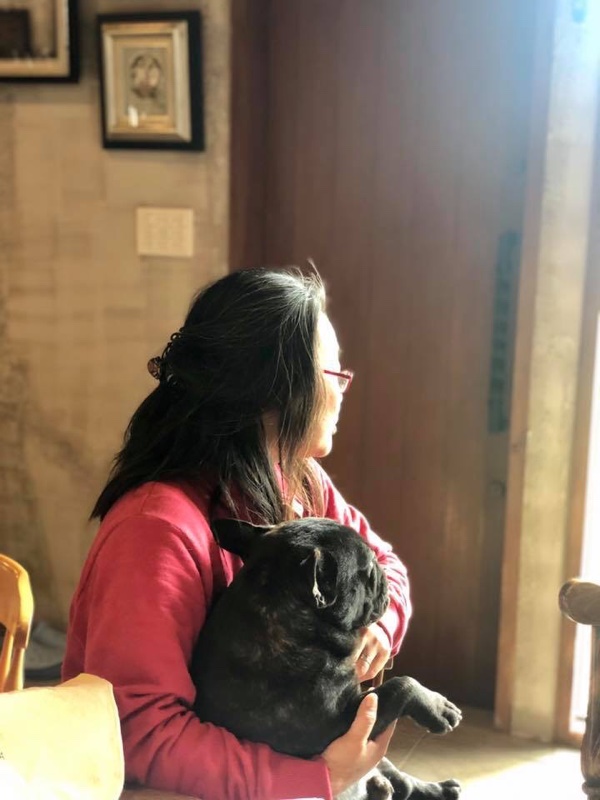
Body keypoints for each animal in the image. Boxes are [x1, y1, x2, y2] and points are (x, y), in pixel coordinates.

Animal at [192, 517, 462, 800]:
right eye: (368, 570)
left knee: (403, 783)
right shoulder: (342, 727)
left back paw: (438, 789)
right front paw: (439, 707)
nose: (383, 573)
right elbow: (401, 685)